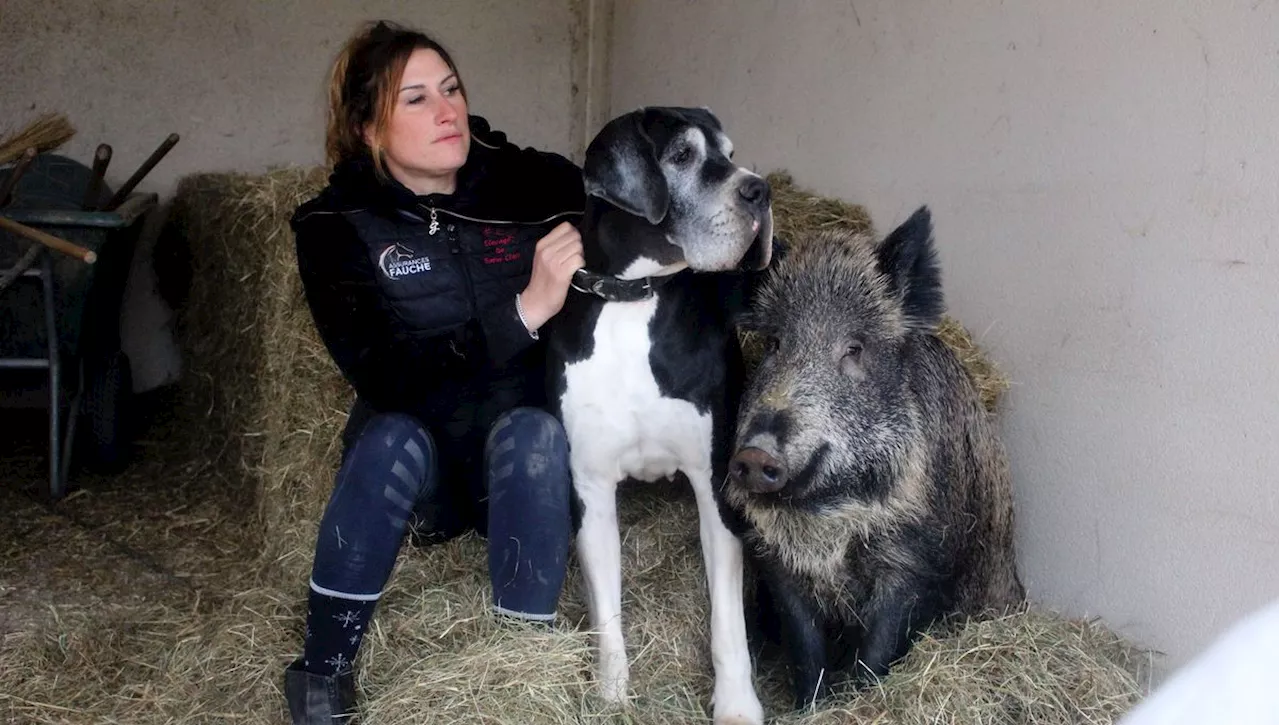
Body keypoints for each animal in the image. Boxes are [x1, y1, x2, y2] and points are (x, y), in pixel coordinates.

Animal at [547, 109, 773, 725]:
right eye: (681, 156)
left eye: (729, 153)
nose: (761, 190)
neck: (634, 299)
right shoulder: (590, 487)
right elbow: (607, 610)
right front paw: (611, 694)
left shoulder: (716, 484)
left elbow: (728, 620)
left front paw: (737, 704)